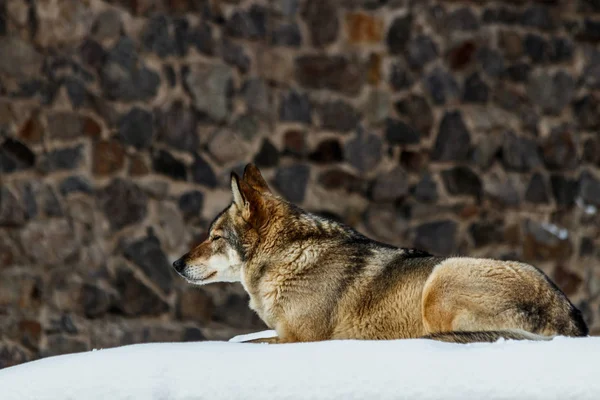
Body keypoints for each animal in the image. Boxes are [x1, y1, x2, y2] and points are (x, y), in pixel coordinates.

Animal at [171, 165, 588, 344]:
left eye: (213, 236)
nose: (175, 264)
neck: (288, 258)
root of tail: (572, 320)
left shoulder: (299, 339)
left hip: (440, 281)